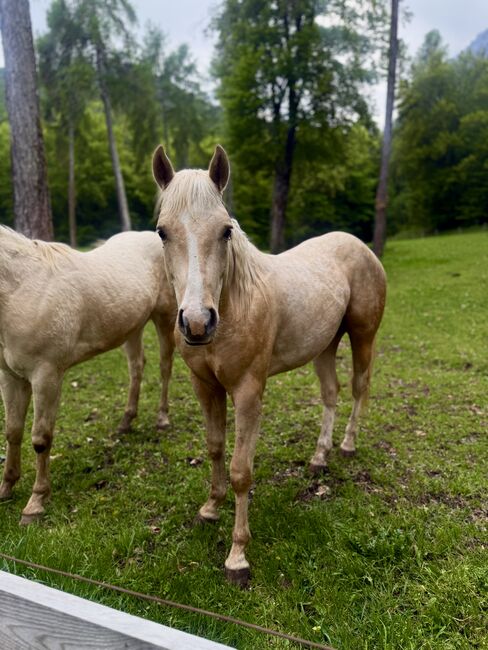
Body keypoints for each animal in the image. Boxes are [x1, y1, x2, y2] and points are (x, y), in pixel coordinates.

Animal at [0, 227, 177, 524]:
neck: (22, 289)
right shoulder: (11, 378)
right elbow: (13, 432)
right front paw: (6, 488)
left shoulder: (46, 376)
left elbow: (40, 438)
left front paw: (36, 502)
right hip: (133, 326)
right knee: (136, 367)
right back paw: (126, 421)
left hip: (165, 317)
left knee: (165, 366)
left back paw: (162, 419)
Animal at [152, 145, 387, 586]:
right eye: (162, 232)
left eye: (226, 230)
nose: (197, 322)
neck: (235, 303)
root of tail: (359, 245)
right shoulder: (204, 386)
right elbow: (214, 448)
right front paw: (210, 508)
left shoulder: (247, 392)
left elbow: (241, 470)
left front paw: (237, 556)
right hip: (325, 346)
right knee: (330, 395)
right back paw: (319, 458)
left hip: (363, 337)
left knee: (359, 388)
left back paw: (347, 445)